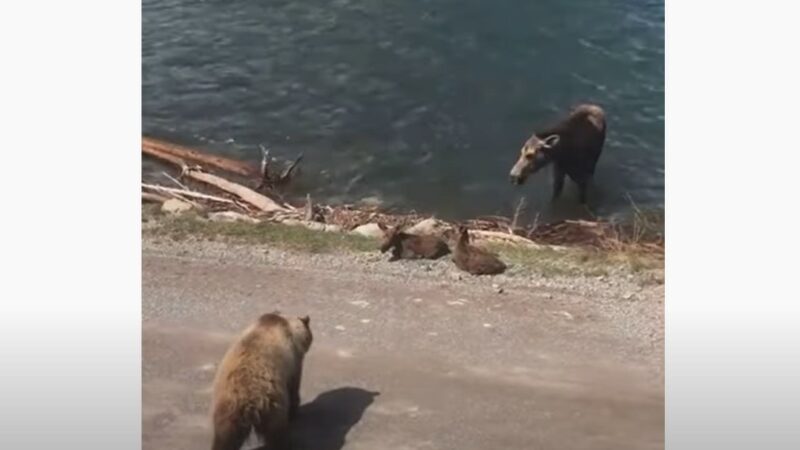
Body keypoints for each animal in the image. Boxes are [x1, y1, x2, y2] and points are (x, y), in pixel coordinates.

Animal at [209, 312, 312, 450]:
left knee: (225, 436)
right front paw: (294, 411)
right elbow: (294, 385)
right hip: (272, 404)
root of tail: (248, 402)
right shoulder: (293, 361)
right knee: (276, 432)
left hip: (227, 407)